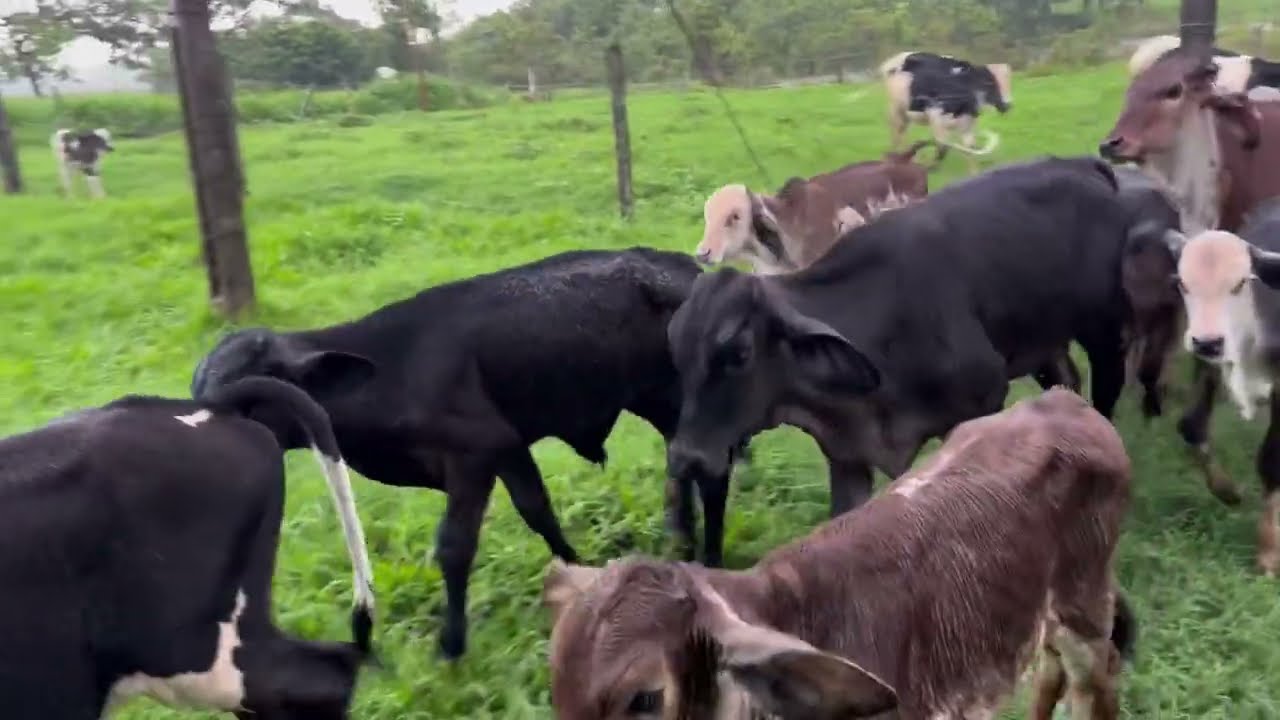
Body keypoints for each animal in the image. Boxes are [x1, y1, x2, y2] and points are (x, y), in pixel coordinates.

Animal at [190, 247, 747, 660]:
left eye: (252, 398)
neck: (390, 373)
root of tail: (692, 269)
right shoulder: (508, 447)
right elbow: (538, 511)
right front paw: (580, 577)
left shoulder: (473, 455)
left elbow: (455, 546)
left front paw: (451, 646)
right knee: (683, 468)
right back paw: (682, 541)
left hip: (679, 402)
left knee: (710, 472)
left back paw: (709, 558)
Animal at [665, 156, 1133, 530]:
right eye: (677, 352)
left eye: (739, 351)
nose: (685, 459)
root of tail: (1081, 164)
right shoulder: (848, 458)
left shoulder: (981, 404)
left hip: (1104, 328)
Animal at [879, 51, 1011, 174]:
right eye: (988, 82)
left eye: (1009, 80)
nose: (1007, 105)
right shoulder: (935, 116)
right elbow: (942, 146)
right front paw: (931, 166)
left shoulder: (968, 123)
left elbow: (969, 147)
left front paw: (974, 172)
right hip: (896, 108)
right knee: (897, 132)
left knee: (902, 132)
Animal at [1159, 201, 1280, 576]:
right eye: (1182, 284)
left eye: (1240, 283)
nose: (1208, 341)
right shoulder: (1210, 367)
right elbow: (1191, 426)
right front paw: (1228, 491)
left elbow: (1271, 459)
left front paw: (1269, 552)